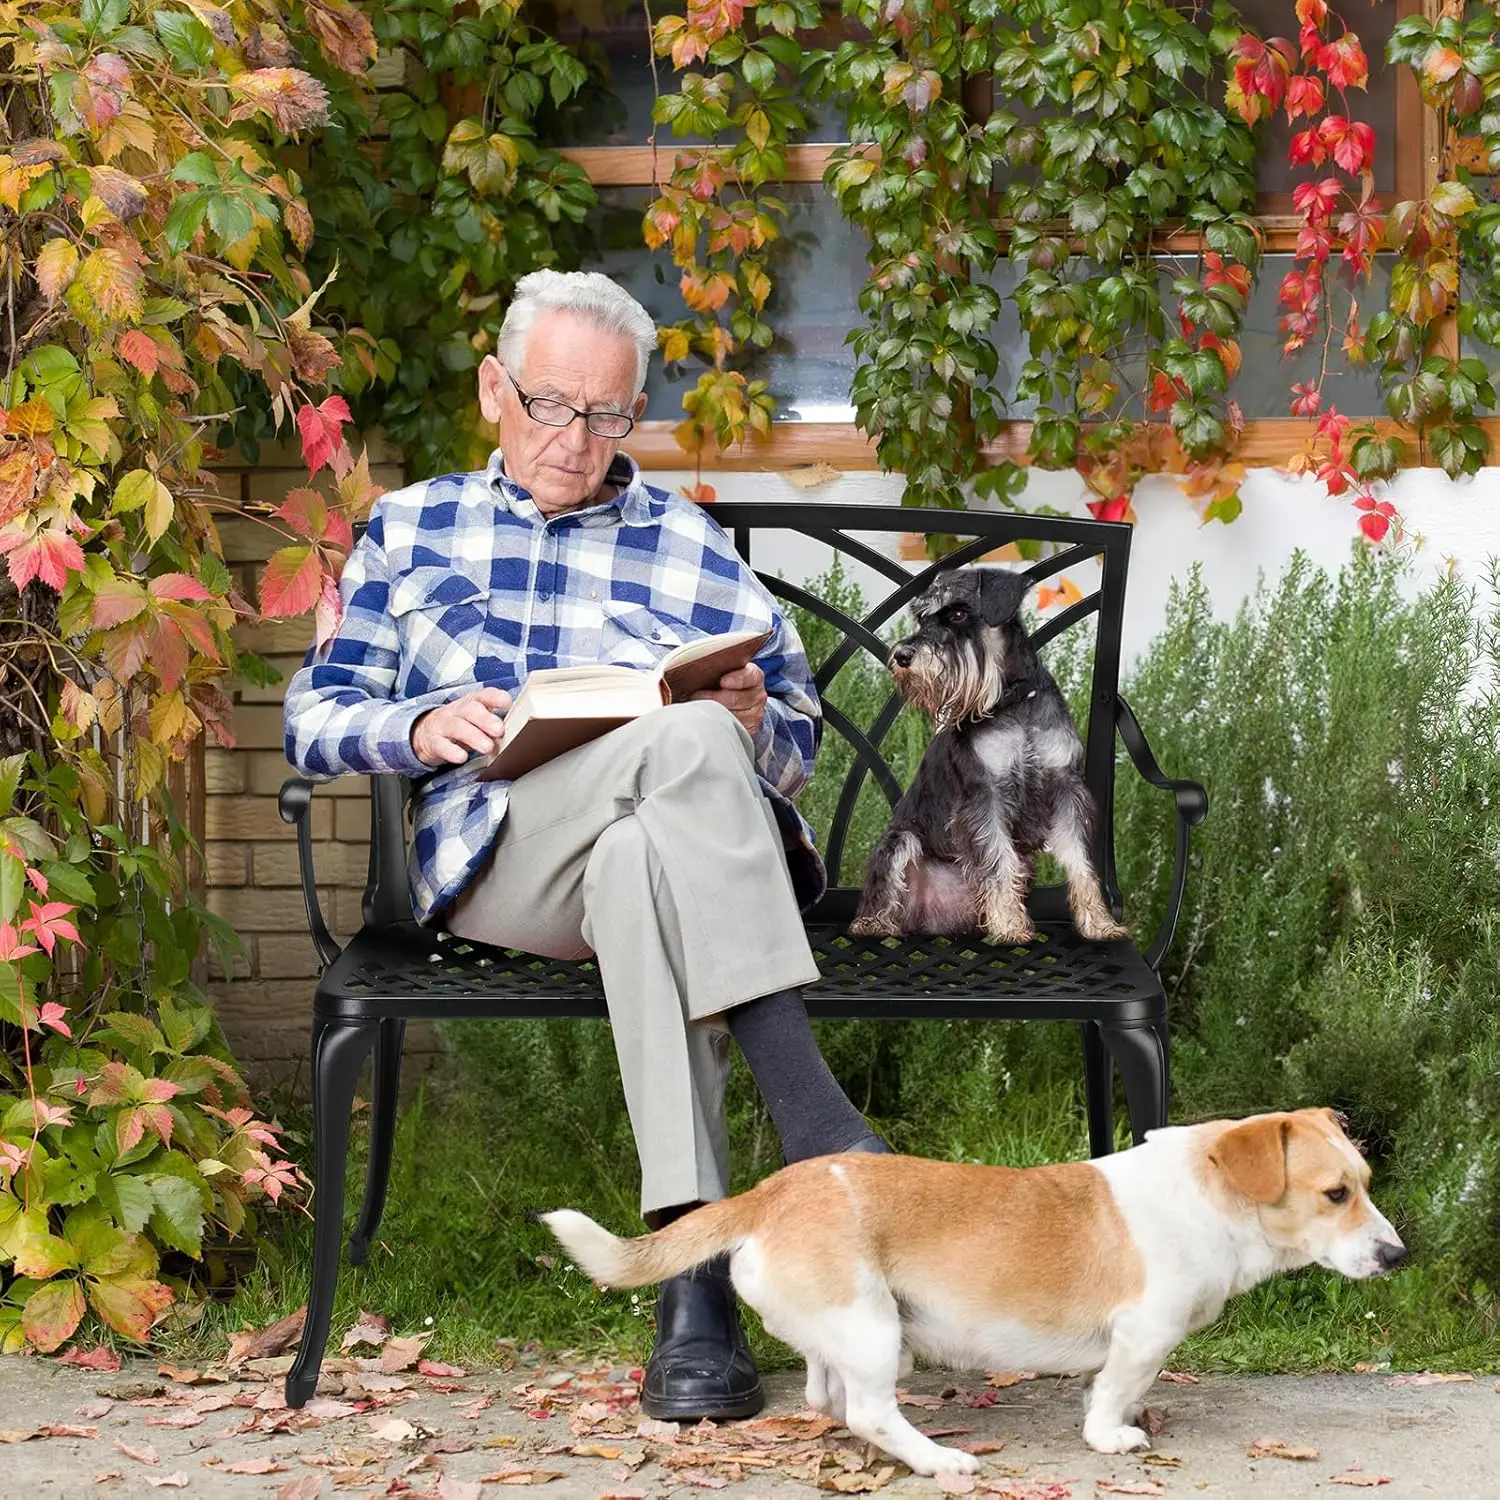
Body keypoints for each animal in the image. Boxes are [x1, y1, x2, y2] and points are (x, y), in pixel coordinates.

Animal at [549, 1116, 1404, 1476]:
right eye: (1335, 1194)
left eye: (1364, 1183)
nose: (1398, 1256)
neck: (1209, 1191)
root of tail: (768, 1194)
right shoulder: (1142, 1336)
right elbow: (1111, 1396)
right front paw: (1113, 1436)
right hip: (872, 1330)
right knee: (868, 1411)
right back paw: (940, 1461)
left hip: (853, 1330)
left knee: (829, 1397)